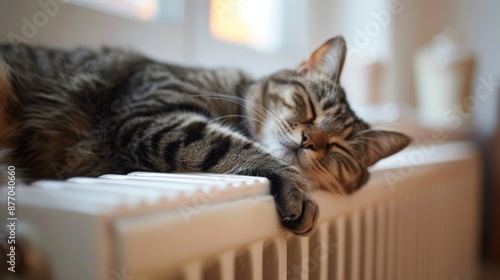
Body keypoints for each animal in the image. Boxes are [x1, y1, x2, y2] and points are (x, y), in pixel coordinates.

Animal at [0, 36, 410, 234]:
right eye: (309, 106)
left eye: (339, 148)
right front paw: (295, 186)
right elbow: (223, 142)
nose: (310, 140)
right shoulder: (139, 114)